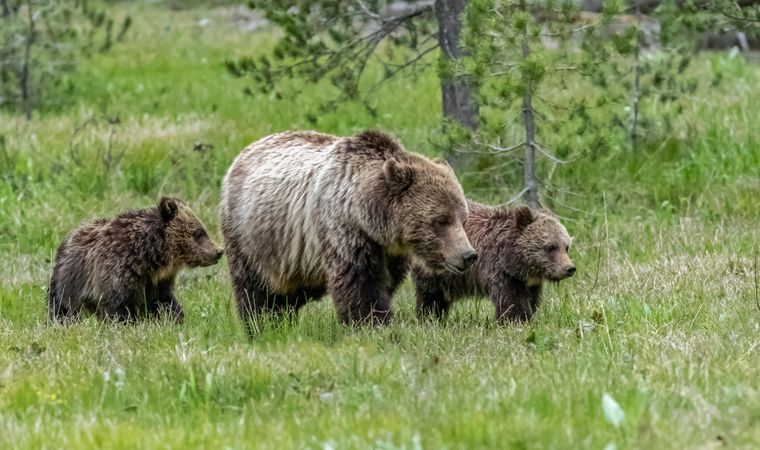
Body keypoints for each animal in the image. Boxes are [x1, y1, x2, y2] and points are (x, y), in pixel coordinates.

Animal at [48, 199, 223, 322]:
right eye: (199, 233)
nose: (219, 252)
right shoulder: (116, 273)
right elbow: (119, 308)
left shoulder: (155, 282)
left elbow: (164, 301)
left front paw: (175, 318)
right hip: (69, 282)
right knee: (62, 308)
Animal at [220, 130, 476, 330]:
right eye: (441, 220)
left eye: (462, 219)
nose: (468, 255)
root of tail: (245, 151)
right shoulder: (344, 230)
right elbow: (361, 283)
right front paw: (372, 324)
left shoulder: (390, 252)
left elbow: (386, 282)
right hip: (250, 235)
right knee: (255, 288)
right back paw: (262, 324)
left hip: (293, 257)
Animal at [412, 202, 572, 322]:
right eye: (551, 247)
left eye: (566, 247)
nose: (570, 268)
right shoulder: (499, 272)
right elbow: (511, 302)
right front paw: (514, 321)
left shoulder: (528, 283)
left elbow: (530, 301)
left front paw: (528, 318)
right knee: (431, 295)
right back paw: (430, 317)